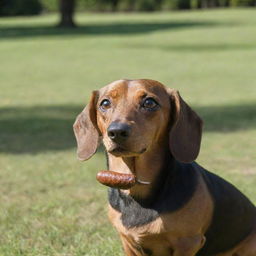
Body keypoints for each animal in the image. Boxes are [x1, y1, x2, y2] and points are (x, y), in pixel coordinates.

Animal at [73, 79, 255, 255]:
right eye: (105, 103)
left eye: (149, 102)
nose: (116, 132)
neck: (135, 188)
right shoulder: (128, 243)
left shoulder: (188, 243)